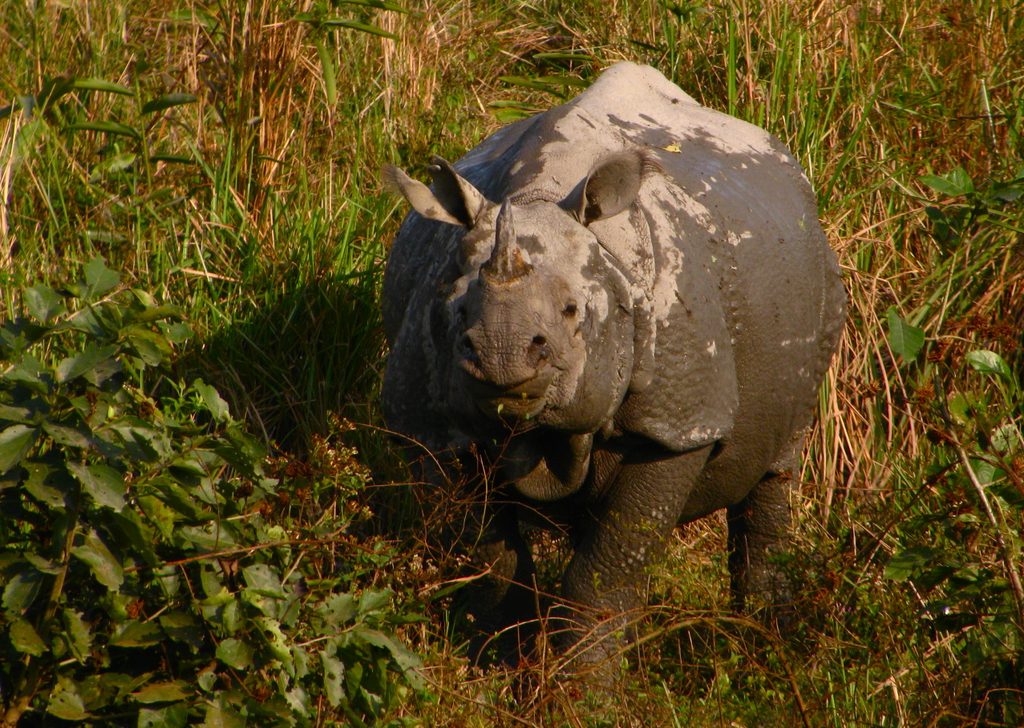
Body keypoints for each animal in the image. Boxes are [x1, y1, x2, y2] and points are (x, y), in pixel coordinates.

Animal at [381, 62, 845, 669]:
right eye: (457, 311)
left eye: (572, 311)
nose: (501, 356)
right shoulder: (437, 429)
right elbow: (494, 566)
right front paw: (505, 672)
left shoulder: (677, 422)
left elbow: (603, 578)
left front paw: (582, 688)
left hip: (820, 275)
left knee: (777, 467)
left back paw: (767, 646)